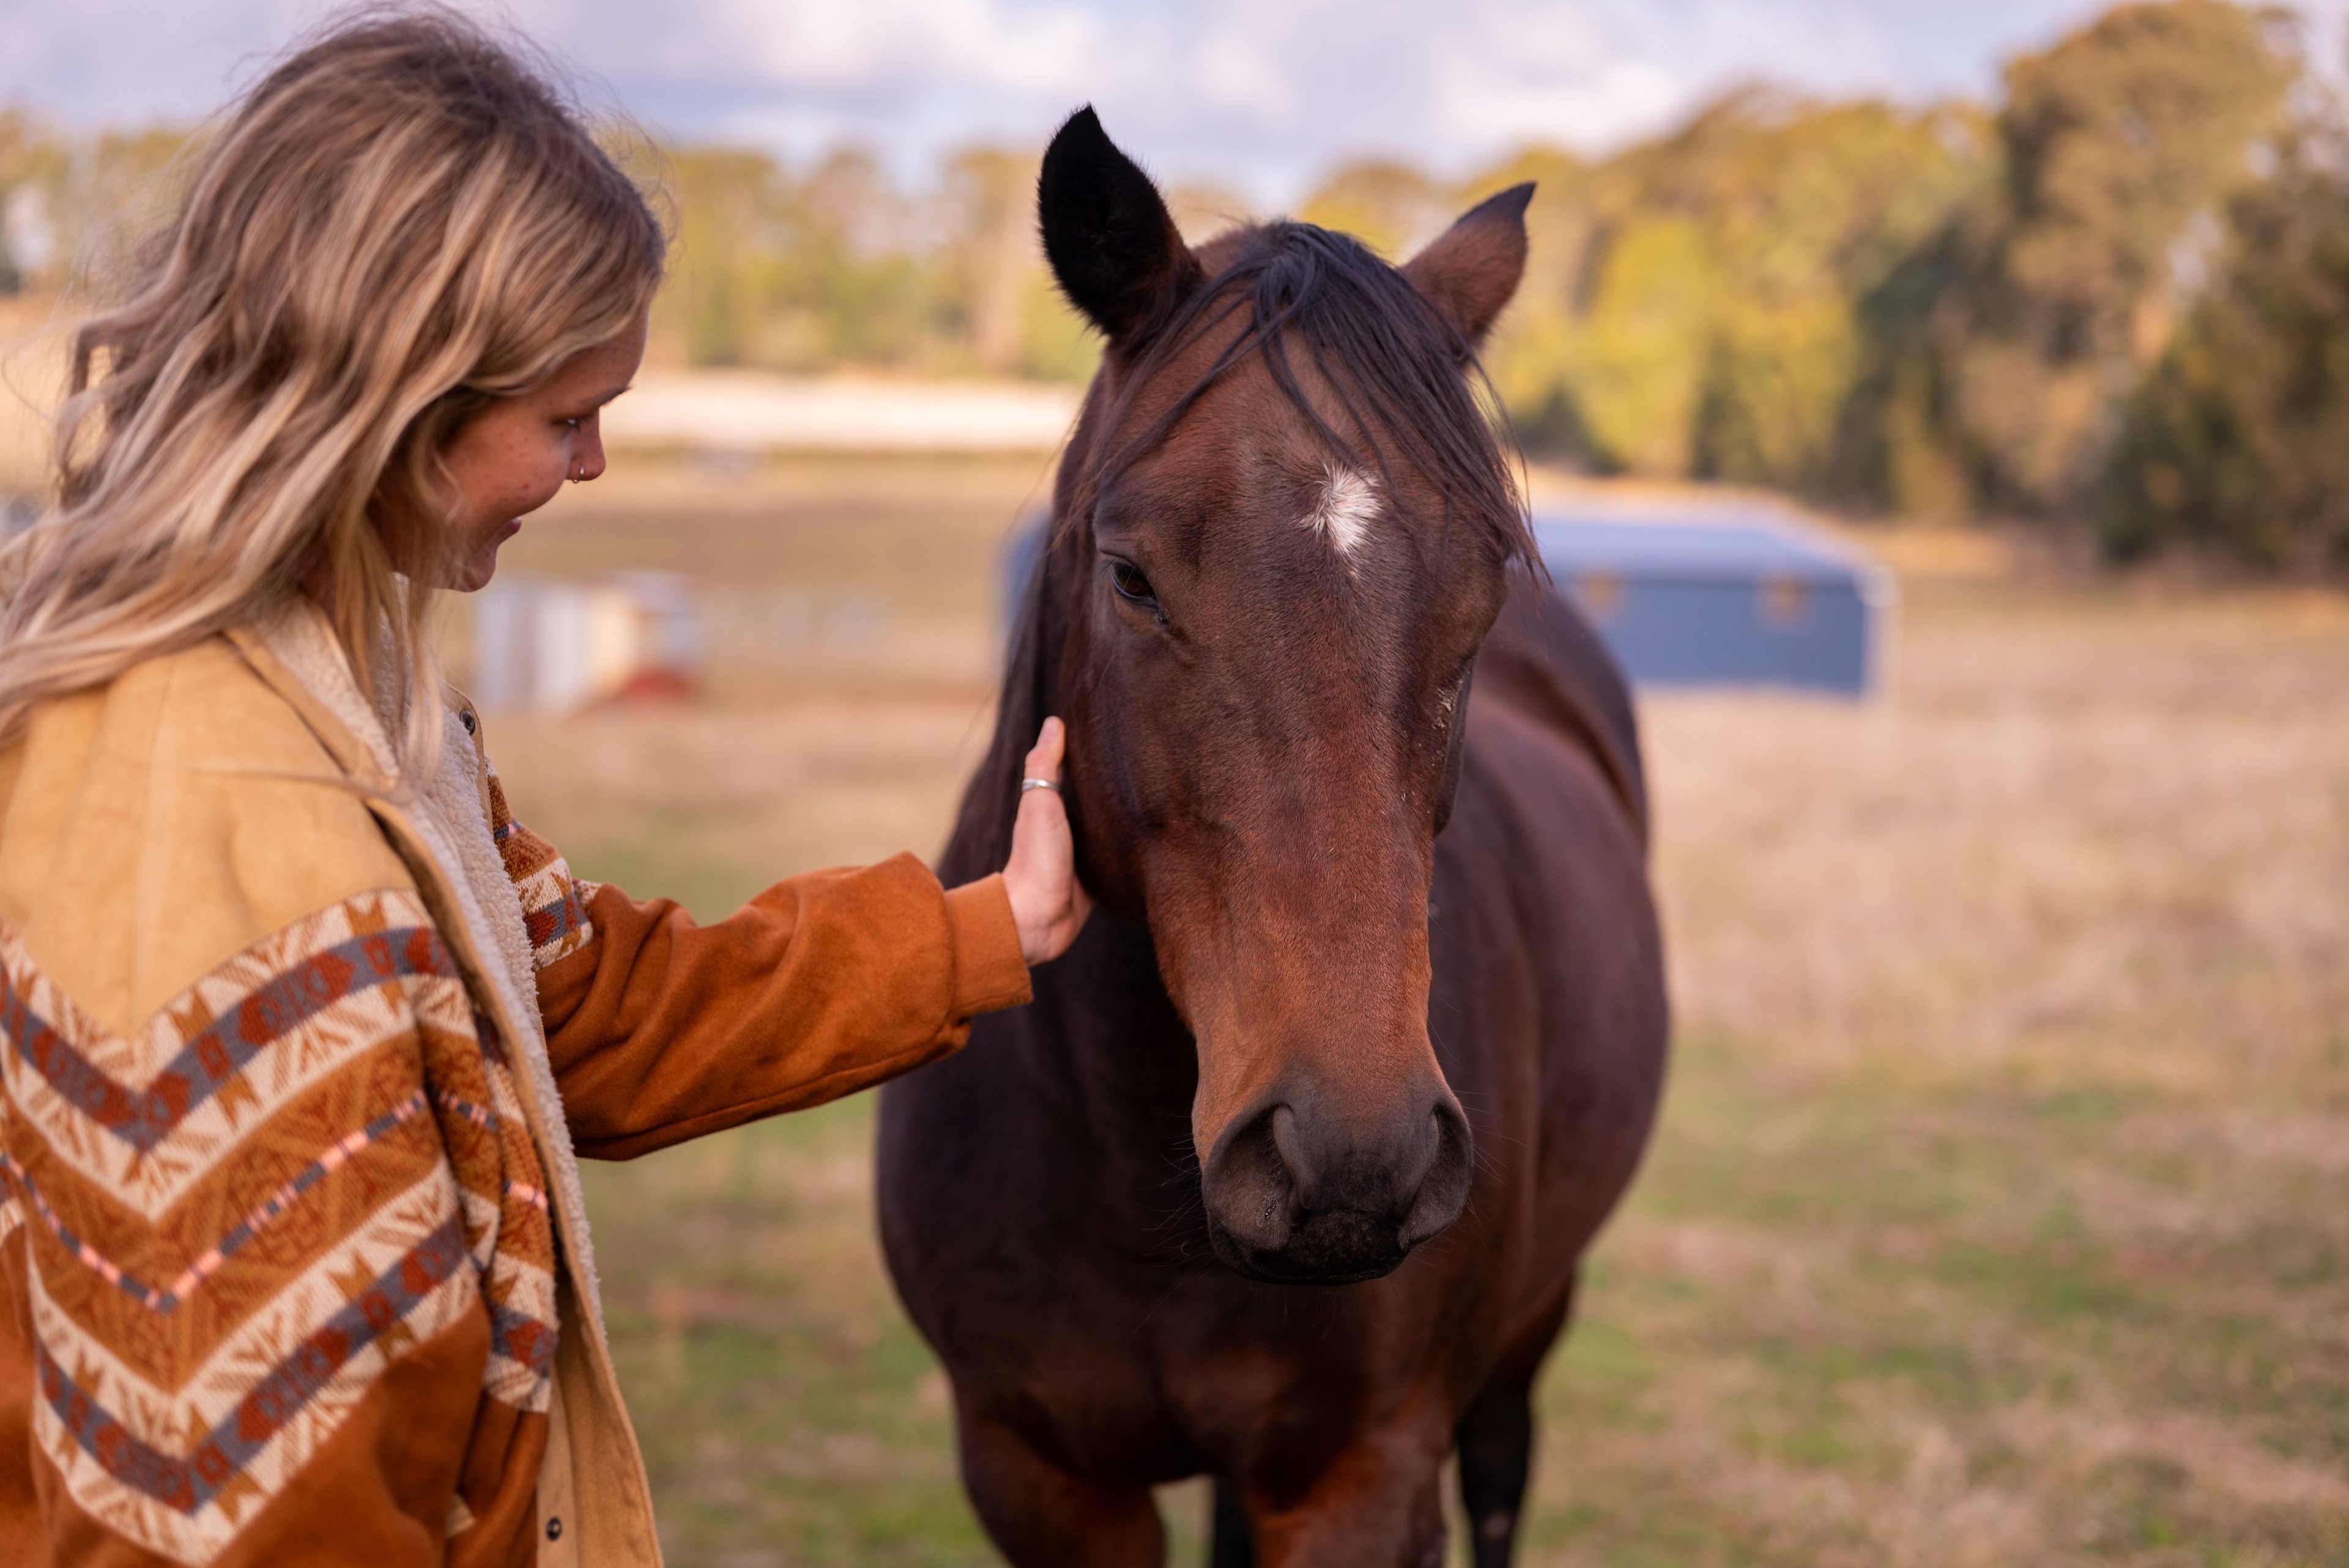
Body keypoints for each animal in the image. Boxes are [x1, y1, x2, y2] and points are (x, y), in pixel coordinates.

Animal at [877, 108, 1668, 1568]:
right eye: (1130, 576)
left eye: (1482, 600)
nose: (1348, 1158)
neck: (1135, 1161)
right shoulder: (1037, 1472)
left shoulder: (1366, 1473)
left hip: (1527, 1335)